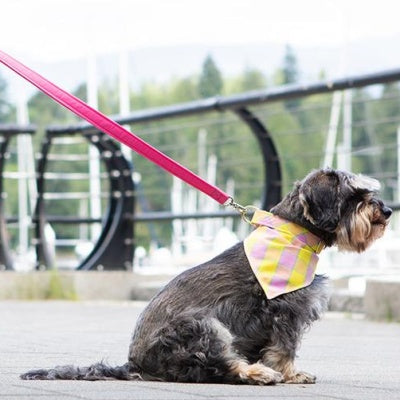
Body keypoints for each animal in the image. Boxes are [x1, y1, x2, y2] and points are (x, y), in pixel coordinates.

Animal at [21, 168, 390, 384]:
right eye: (356, 195)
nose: (386, 211)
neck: (294, 232)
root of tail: (135, 365)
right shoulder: (286, 311)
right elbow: (284, 348)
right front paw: (290, 374)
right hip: (204, 326)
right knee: (219, 365)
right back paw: (257, 372)